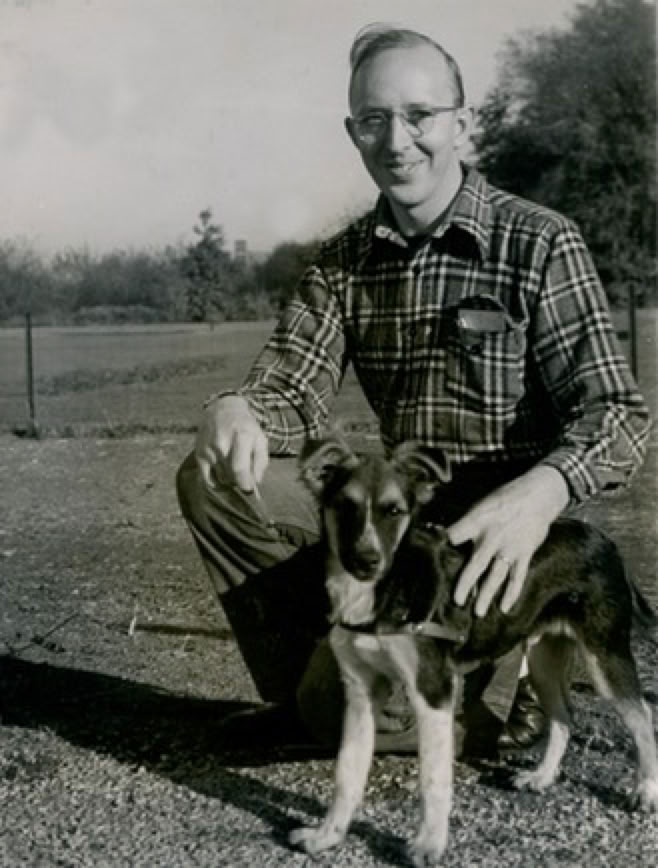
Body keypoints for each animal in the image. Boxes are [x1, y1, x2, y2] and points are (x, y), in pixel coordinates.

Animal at [289, 434, 658, 867]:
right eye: (344, 506)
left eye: (394, 511)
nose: (367, 561)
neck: (384, 591)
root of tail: (605, 540)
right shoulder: (362, 692)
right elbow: (346, 772)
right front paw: (326, 836)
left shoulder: (433, 690)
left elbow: (433, 778)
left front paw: (430, 844)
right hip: (544, 658)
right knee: (565, 716)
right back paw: (542, 776)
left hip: (604, 655)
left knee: (642, 717)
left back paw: (646, 790)